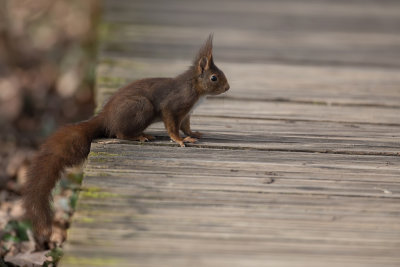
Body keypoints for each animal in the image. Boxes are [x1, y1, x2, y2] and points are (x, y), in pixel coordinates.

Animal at [23, 34, 231, 245]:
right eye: (214, 77)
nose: (227, 87)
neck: (195, 87)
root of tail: (105, 118)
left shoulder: (186, 114)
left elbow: (186, 126)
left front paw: (193, 134)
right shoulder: (173, 106)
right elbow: (172, 126)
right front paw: (179, 140)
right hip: (142, 107)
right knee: (120, 133)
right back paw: (140, 136)